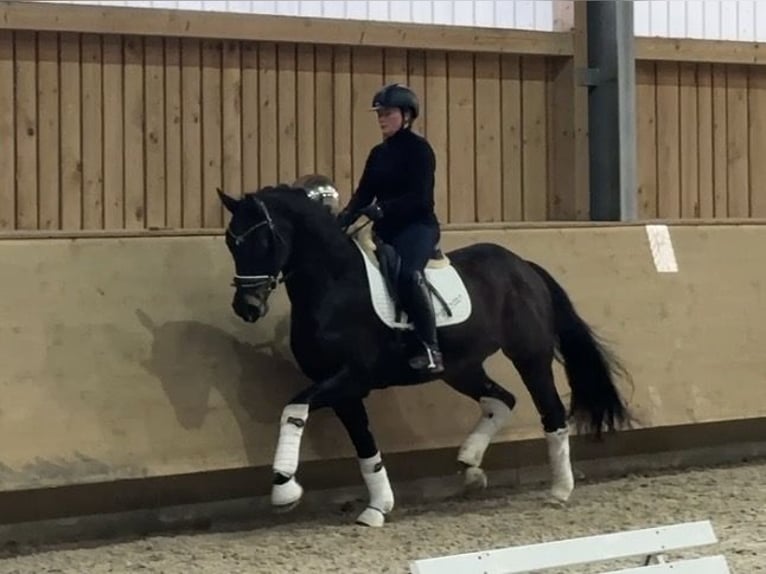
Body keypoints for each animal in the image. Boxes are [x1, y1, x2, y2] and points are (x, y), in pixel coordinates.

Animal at [216, 178, 634, 528]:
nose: (247, 307)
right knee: (502, 399)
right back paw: (471, 465)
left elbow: (294, 408)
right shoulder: (343, 389)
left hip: (529, 356)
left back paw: (559, 491)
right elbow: (365, 446)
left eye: (264, 241)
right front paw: (378, 507)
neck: (335, 285)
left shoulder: (353, 377)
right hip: (460, 368)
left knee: (551, 412)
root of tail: (523, 268)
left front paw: (284, 488)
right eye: (231, 243)